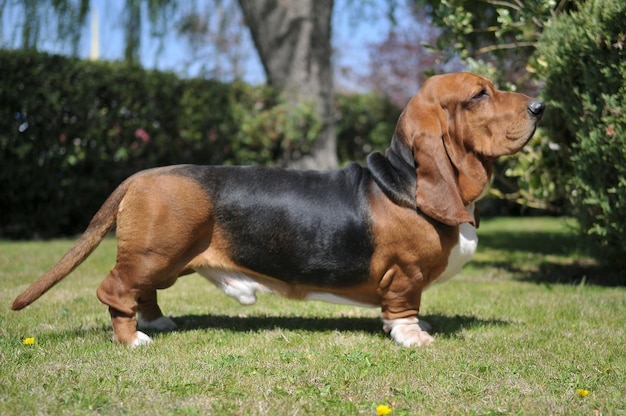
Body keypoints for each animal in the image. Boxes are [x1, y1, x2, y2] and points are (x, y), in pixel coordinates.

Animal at [12, 73, 544, 346]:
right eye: (479, 94)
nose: (540, 106)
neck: (404, 179)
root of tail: (141, 176)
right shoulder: (405, 275)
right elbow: (403, 308)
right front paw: (414, 336)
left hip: (165, 259)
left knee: (142, 293)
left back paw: (158, 322)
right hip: (153, 253)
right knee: (115, 290)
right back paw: (133, 339)